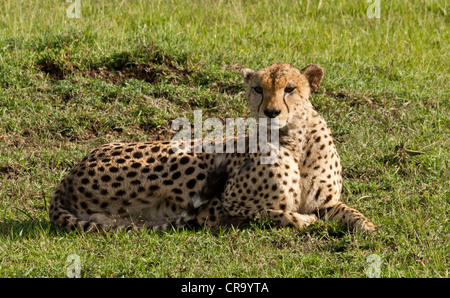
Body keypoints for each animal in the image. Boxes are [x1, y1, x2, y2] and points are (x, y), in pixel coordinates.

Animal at [47, 63, 374, 233]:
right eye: (258, 89)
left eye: (290, 89)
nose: (271, 112)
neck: (295, 139)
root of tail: (67, 178)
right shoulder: (230, 200)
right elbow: (272, 213)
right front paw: (304, 220)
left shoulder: (326, 203)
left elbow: (350, 212)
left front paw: (367, 226)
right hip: (192, 157)